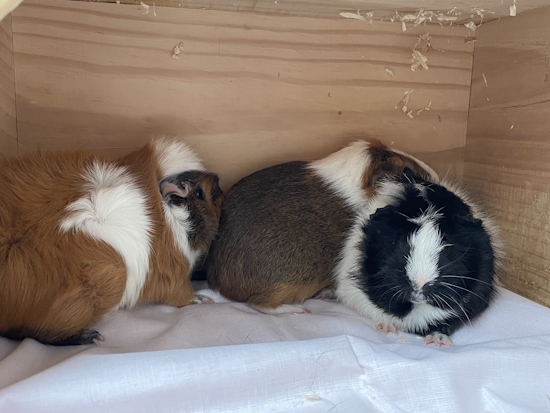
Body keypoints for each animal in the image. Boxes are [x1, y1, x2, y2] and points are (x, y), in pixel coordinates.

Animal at [0, 136, 224, 345]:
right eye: (199, 193)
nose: (219, 180)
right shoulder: (173, 275)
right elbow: (183, 296)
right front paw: (203, 300)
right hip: (109, 280)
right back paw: (93, 337)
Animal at [206, 139, 439, 315]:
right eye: (407, 172)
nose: (436, 178)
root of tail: (219, 283)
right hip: (293, 280)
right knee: (259, 303)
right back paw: (299, 310)